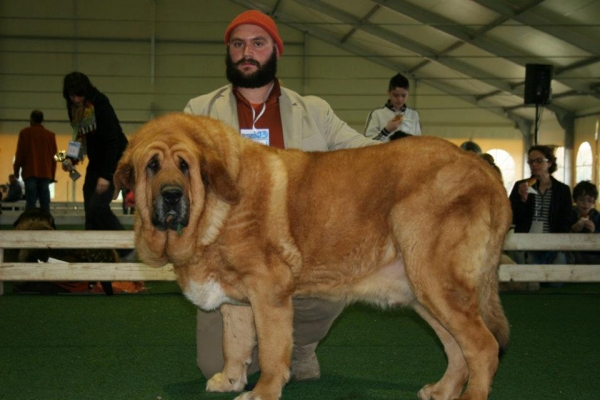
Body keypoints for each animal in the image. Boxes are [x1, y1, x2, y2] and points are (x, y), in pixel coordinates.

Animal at [116, 111, 510, 400]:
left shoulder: (269, 292)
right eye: (152, 165)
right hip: (423, 292)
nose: (171, 195)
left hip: (435, 282)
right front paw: (230, 380)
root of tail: (484, 170)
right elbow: (235, 345)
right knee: (458, 348)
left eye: (185, 166)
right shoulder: (235, 300)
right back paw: (442, 391)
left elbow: (272, 351)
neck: (216, 206)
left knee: (482, 347)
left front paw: (262, 392)